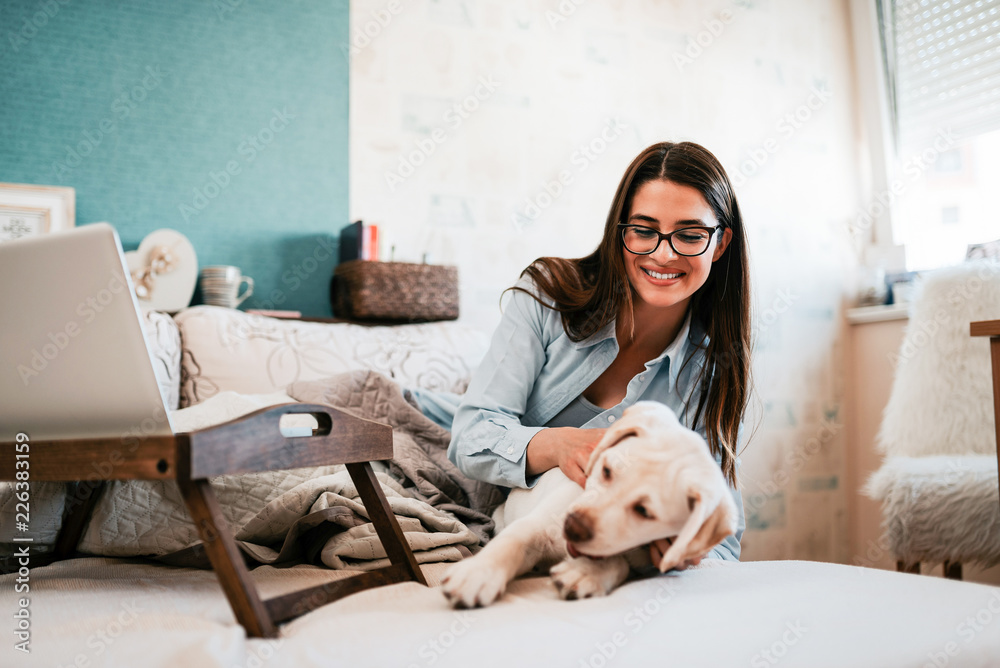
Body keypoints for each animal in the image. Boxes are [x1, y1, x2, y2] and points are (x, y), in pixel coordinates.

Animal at [442, 400, 740, 608]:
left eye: (644, 512)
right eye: (606, 470)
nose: (572, 528)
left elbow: (618, 562)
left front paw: (585, 573)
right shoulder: (537, 525)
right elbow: (511, 542)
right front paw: (478, 573)